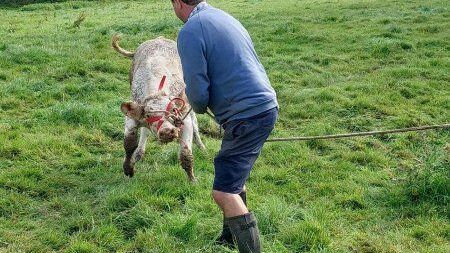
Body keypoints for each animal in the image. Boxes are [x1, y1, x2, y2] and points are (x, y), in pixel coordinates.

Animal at [111, 35, 205, 182]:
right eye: (148, 115)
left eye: (172, 110)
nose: (166, 131)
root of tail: (159, 38)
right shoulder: (133, 116)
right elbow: (129, 144)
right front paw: (128, 168)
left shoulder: (184, 118)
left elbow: (185, 154)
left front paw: (192, 180)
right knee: (144, 132)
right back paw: (139, 153)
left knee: (194, 120)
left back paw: (201, 147)